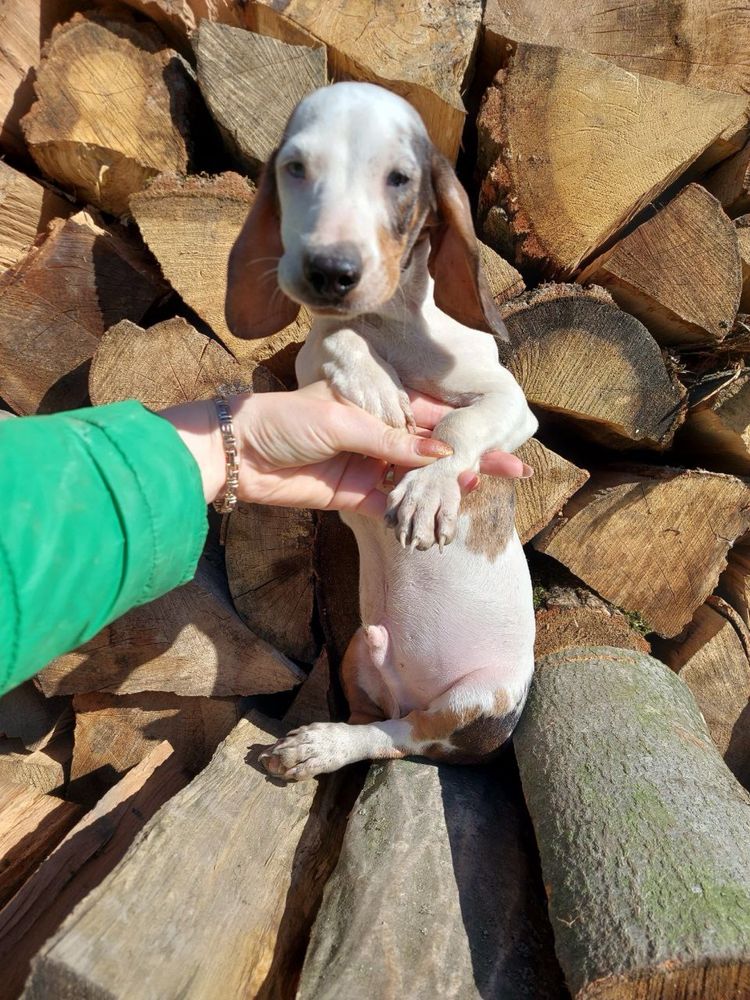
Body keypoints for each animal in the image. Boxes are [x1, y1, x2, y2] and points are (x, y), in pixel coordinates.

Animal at [226, 82, 536, 776]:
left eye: (399, 179)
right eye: (295, 168)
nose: (330, 270)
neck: (393, 322)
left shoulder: (511, 402)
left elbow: (459, 423)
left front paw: (428, 489)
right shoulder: (311, 362)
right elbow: (336, 340)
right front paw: (375, 387)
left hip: (477, 700)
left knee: (402, 738)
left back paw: (323, 744)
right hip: (357, 654)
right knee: (376, 726)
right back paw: (317, 744)